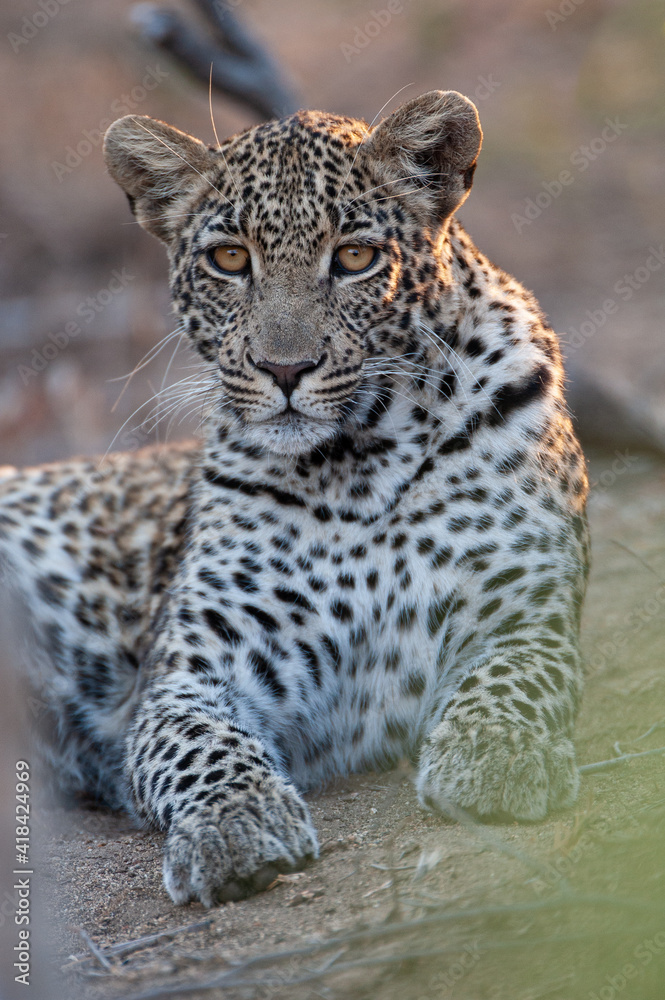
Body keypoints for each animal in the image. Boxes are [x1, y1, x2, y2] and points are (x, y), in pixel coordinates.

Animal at [0, 91, 589, 907]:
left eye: (354, 258)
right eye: (228, 259)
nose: (285, 369)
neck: (359, 463)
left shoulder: (526, 611)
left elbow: (517, 680)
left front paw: (494, 757)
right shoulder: (191, 673)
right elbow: (198, 746)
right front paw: (235, 826)